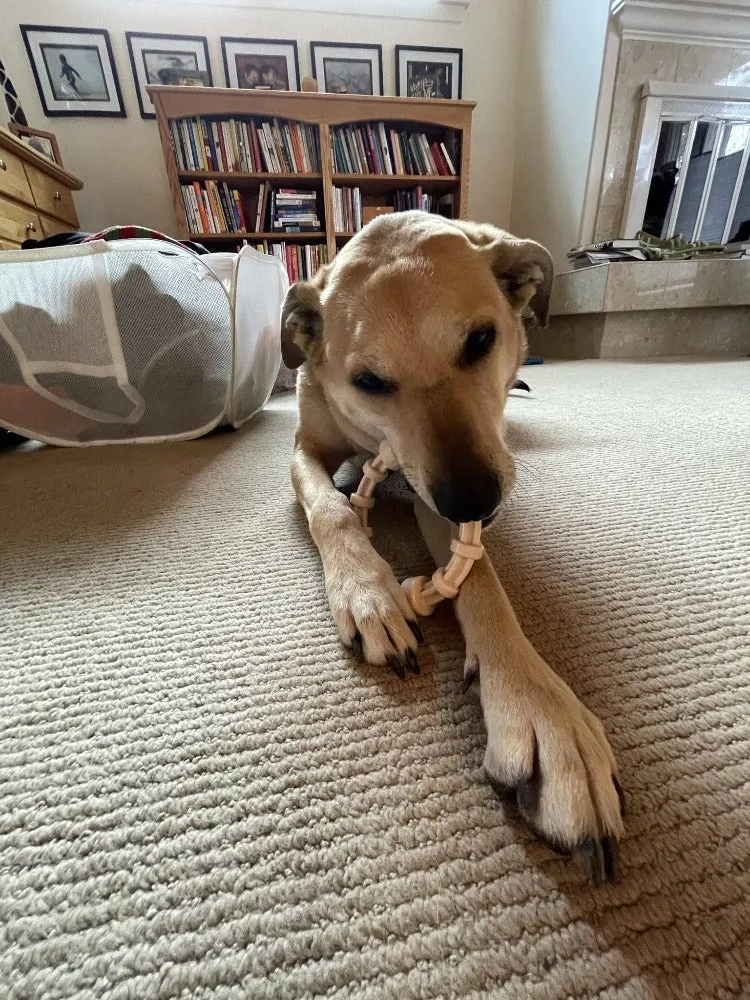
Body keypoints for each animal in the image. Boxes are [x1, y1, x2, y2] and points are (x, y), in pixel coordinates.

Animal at [284, 213, 624, 884]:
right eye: (369, 381)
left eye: (480, 340)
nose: (474, 499)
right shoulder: (305, 450)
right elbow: (331, 511)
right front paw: (368, 593)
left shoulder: (438, 491)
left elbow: (483, 582)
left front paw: (543, 708)